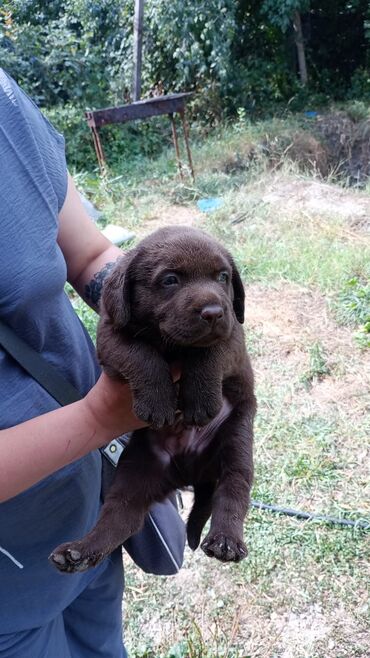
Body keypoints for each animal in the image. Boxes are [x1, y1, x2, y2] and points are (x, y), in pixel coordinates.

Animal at [50, 224, 256, 568]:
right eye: (170, 280)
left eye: (223, 277)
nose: (213, 312)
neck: (172, 345)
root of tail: (189, 473)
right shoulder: (110, 334)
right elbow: (141, 354)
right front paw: (158, 403)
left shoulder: (233, 332)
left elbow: (209, 351)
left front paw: (200, 400)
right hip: (139, 467)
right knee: (120, 514)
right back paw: (79, 552)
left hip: (237, 437)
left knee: (233, 488)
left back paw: (225, 540)